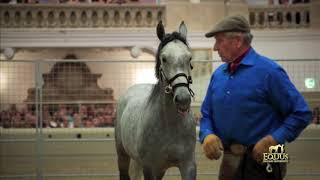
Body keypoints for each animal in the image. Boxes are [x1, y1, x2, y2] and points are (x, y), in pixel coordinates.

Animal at [114, 21, 196, 180]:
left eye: (189, 58)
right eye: (164, 58)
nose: (183, 99)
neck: (170, 125)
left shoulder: (188, 165)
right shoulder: (150, 168)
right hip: (123, 155)